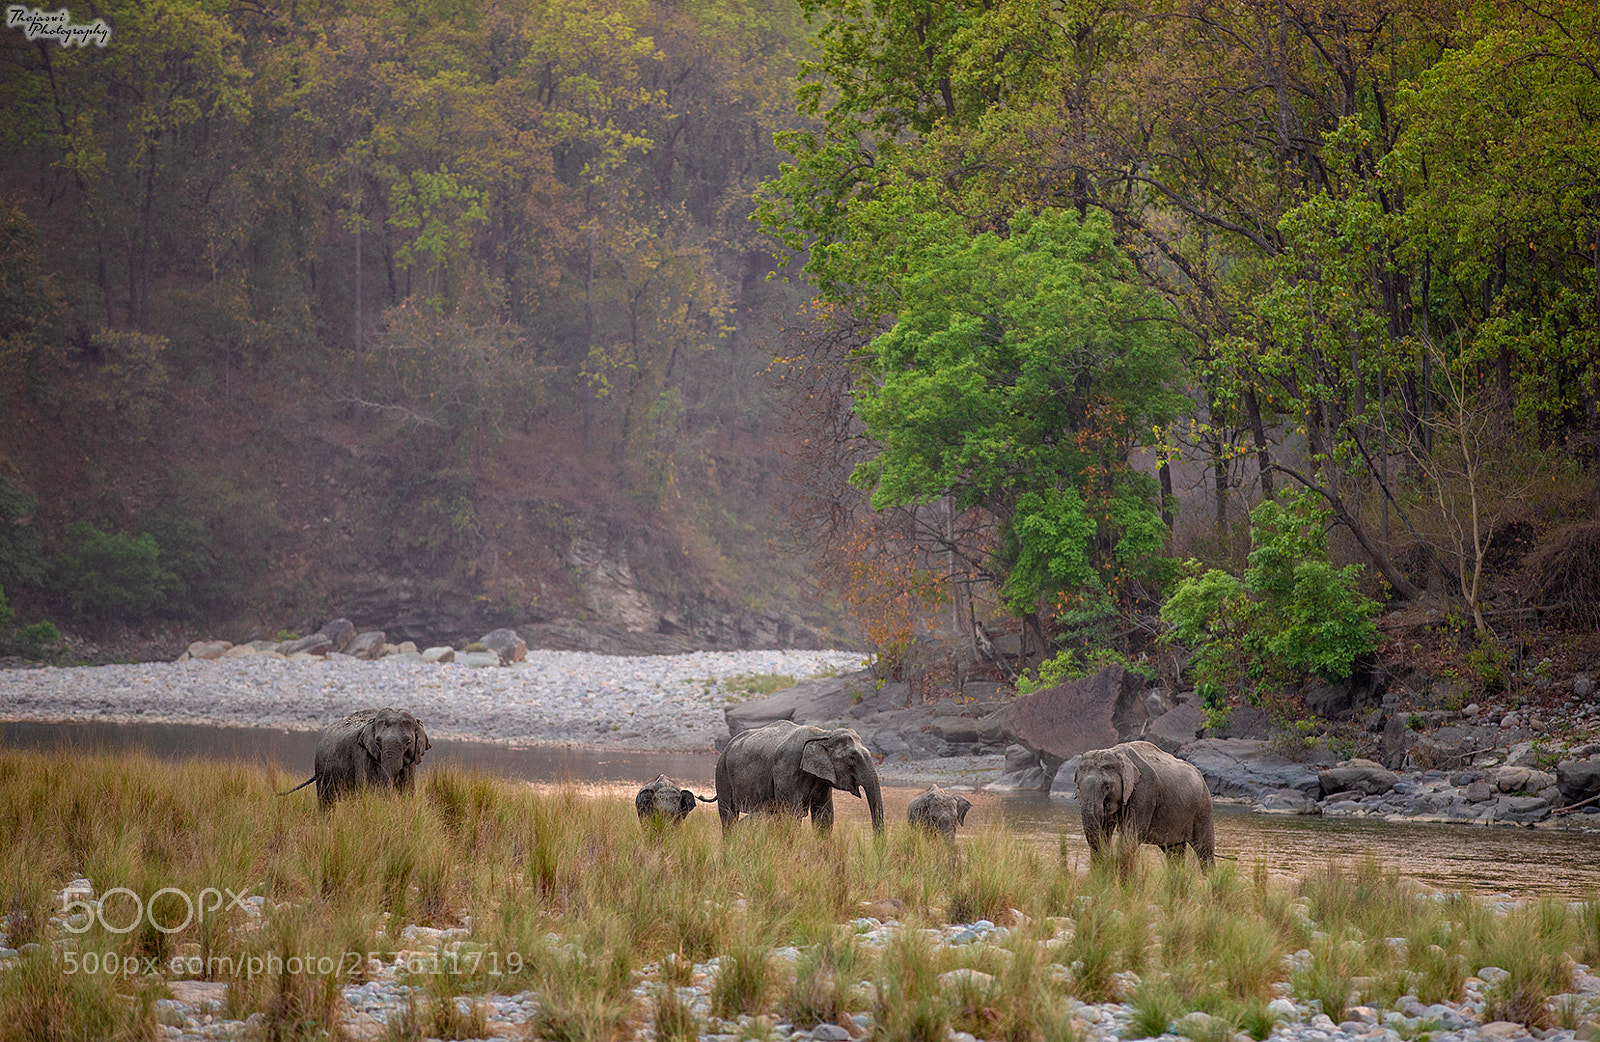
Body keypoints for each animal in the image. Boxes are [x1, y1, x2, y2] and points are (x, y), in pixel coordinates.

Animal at [282, 707, 431, 807]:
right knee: (326, 802)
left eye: (408, 742)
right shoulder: (362, 755)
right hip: (321, 769)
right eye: (378, 742)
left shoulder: (410, 766)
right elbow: (369, 788)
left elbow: (407, 790)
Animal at [714, 720, 884, 835]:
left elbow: (824, 817)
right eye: (852, 758)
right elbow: (792, 815)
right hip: (722, 774)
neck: (823, 735)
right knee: (728, 816)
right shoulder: (787, 769)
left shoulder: (822, 780)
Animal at [1073, 740, 1214, 875]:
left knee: (1204, 850)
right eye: (1078, 786)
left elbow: (1131, 835)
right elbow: (1104, 831)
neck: (1116, 752)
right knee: (1174, 852)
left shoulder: (1146, 790)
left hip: (1203, 805)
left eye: (1107, 786)